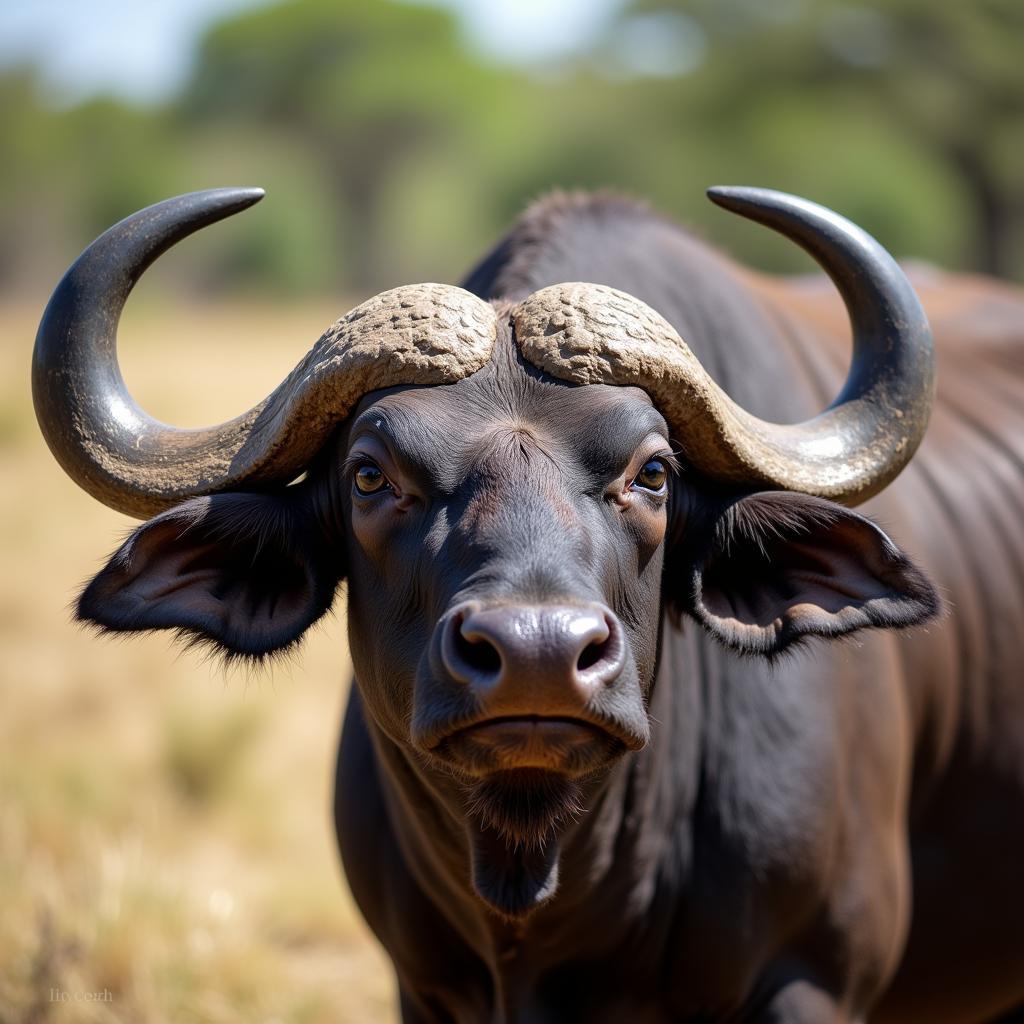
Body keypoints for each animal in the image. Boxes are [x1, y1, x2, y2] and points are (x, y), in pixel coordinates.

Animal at [32, 188, 1024, 1019]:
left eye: (653, 473)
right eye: (369, 475)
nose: (538, 654)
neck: (545, 893)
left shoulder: (811, 977)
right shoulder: (423, 988)